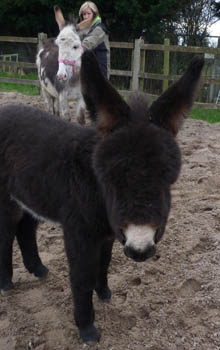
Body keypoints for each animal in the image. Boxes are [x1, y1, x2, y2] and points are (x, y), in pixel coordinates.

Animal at [0, 52, 204, 342]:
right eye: (110, 179)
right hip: (5, 199)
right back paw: (6, 283)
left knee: (25, 228)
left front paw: (105, 294)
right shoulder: (79, 232)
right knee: (6, 234)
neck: (98, 194)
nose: (140, 249)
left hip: (31, 194)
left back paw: (38, 269)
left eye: (168, 179)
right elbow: (82, 276)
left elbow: (104, 263)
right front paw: (87, 330)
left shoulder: (107, 232)